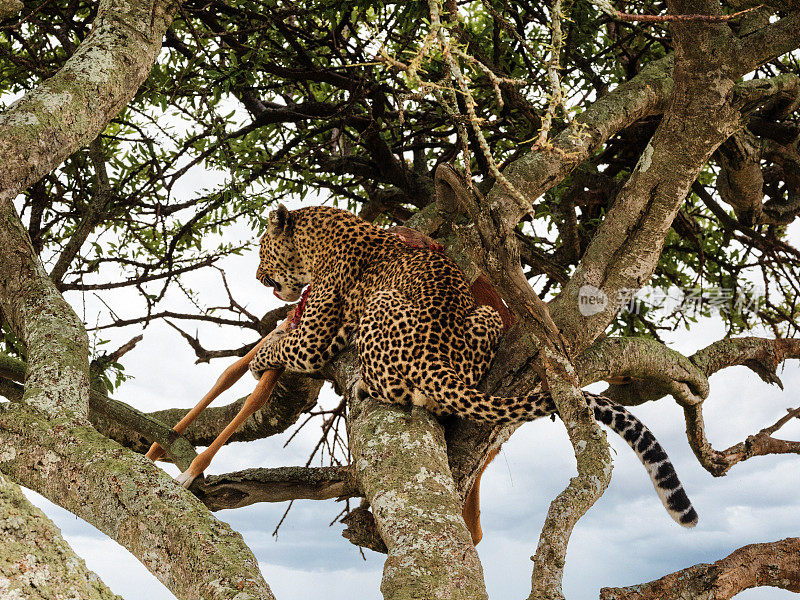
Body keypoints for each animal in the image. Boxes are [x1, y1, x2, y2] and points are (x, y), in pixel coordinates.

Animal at [250, 204, 700, 528]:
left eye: (261, 251)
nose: (255, 276)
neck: (325, 232)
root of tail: (438, 365)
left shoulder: (315, 338)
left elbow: (288, 346)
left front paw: (258, 358)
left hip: (382, 305)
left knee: (396, 390)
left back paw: (364, 385)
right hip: (486, 314)